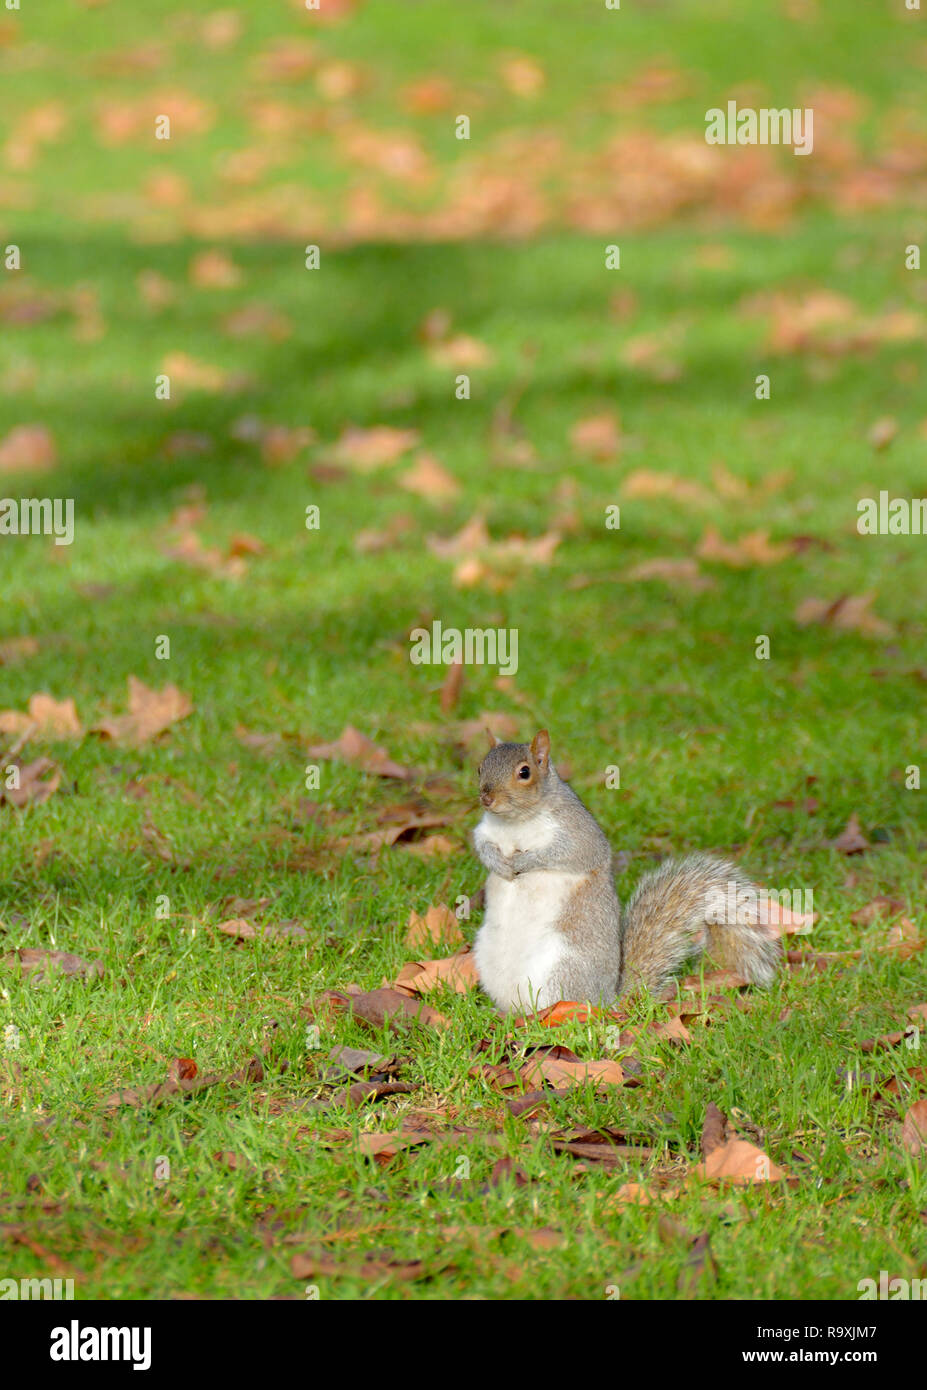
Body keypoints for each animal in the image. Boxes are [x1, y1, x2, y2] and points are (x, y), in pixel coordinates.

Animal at [471, 730, 780, 1014]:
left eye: (524, 772)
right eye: (480, 767)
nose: (486, 798)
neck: (515, 823)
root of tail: (607, 1001)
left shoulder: (577, 833)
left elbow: (568, 854)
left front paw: (523, 862)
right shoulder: (486, 830)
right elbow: (482, 846)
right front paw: (498, 863)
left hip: (559, 968)